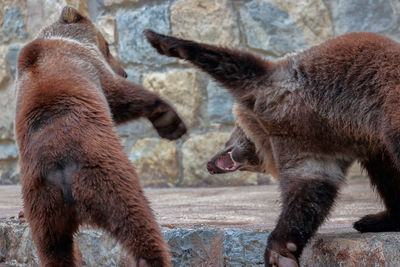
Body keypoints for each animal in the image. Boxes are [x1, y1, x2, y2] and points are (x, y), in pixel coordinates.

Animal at [14, 6, 186, 267]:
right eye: (108, 46)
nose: (124, 72)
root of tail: (61, 171)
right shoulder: (89, 67)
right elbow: (122, 97)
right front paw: (170, 121)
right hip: (106, 178)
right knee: (137, 220)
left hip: (42, 207)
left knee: (54, 249)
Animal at [146, 29, 400, 267]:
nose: (211, 165)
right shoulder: (314, 145)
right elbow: (309, 193)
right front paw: (282, 252)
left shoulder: (283, 89)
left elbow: (234, 64)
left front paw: (162, 40)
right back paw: (376, 219)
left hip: (389, 106)